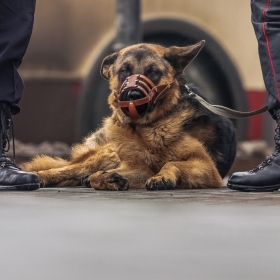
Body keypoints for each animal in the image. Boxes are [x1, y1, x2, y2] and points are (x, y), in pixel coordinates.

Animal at [21, 40, 236, 191]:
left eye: (153, 72)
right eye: (124, 70)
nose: (133, 95)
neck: (147, 130)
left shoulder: (206, 167)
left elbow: (172, 162)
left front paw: (162, 176)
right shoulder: (137, 167)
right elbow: (98, 176)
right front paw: (108, 179)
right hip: (105, 155)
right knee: (67, 169)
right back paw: (40, 177)